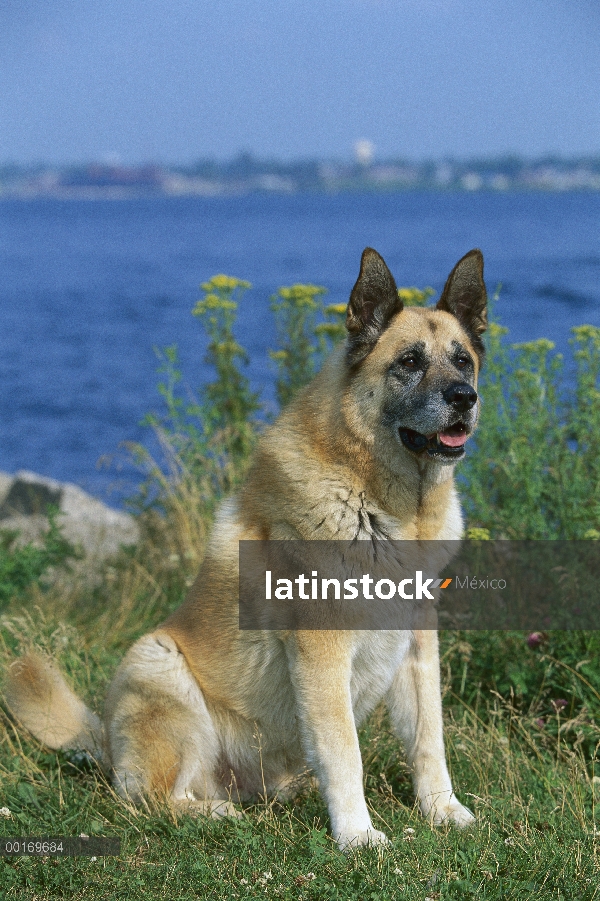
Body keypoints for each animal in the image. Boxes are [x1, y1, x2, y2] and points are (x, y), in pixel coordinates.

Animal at [5, 248, 488, 852]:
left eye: (463, 361)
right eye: (409, 361)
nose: (464, 399)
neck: (388, 504)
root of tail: (109, 744)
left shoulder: (418, 646)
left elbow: (429, 739)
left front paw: (443, 810)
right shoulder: (322, 652)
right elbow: (344, 751)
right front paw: (357, 835)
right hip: (159, 667)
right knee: (151, 799)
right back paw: (216, 813)